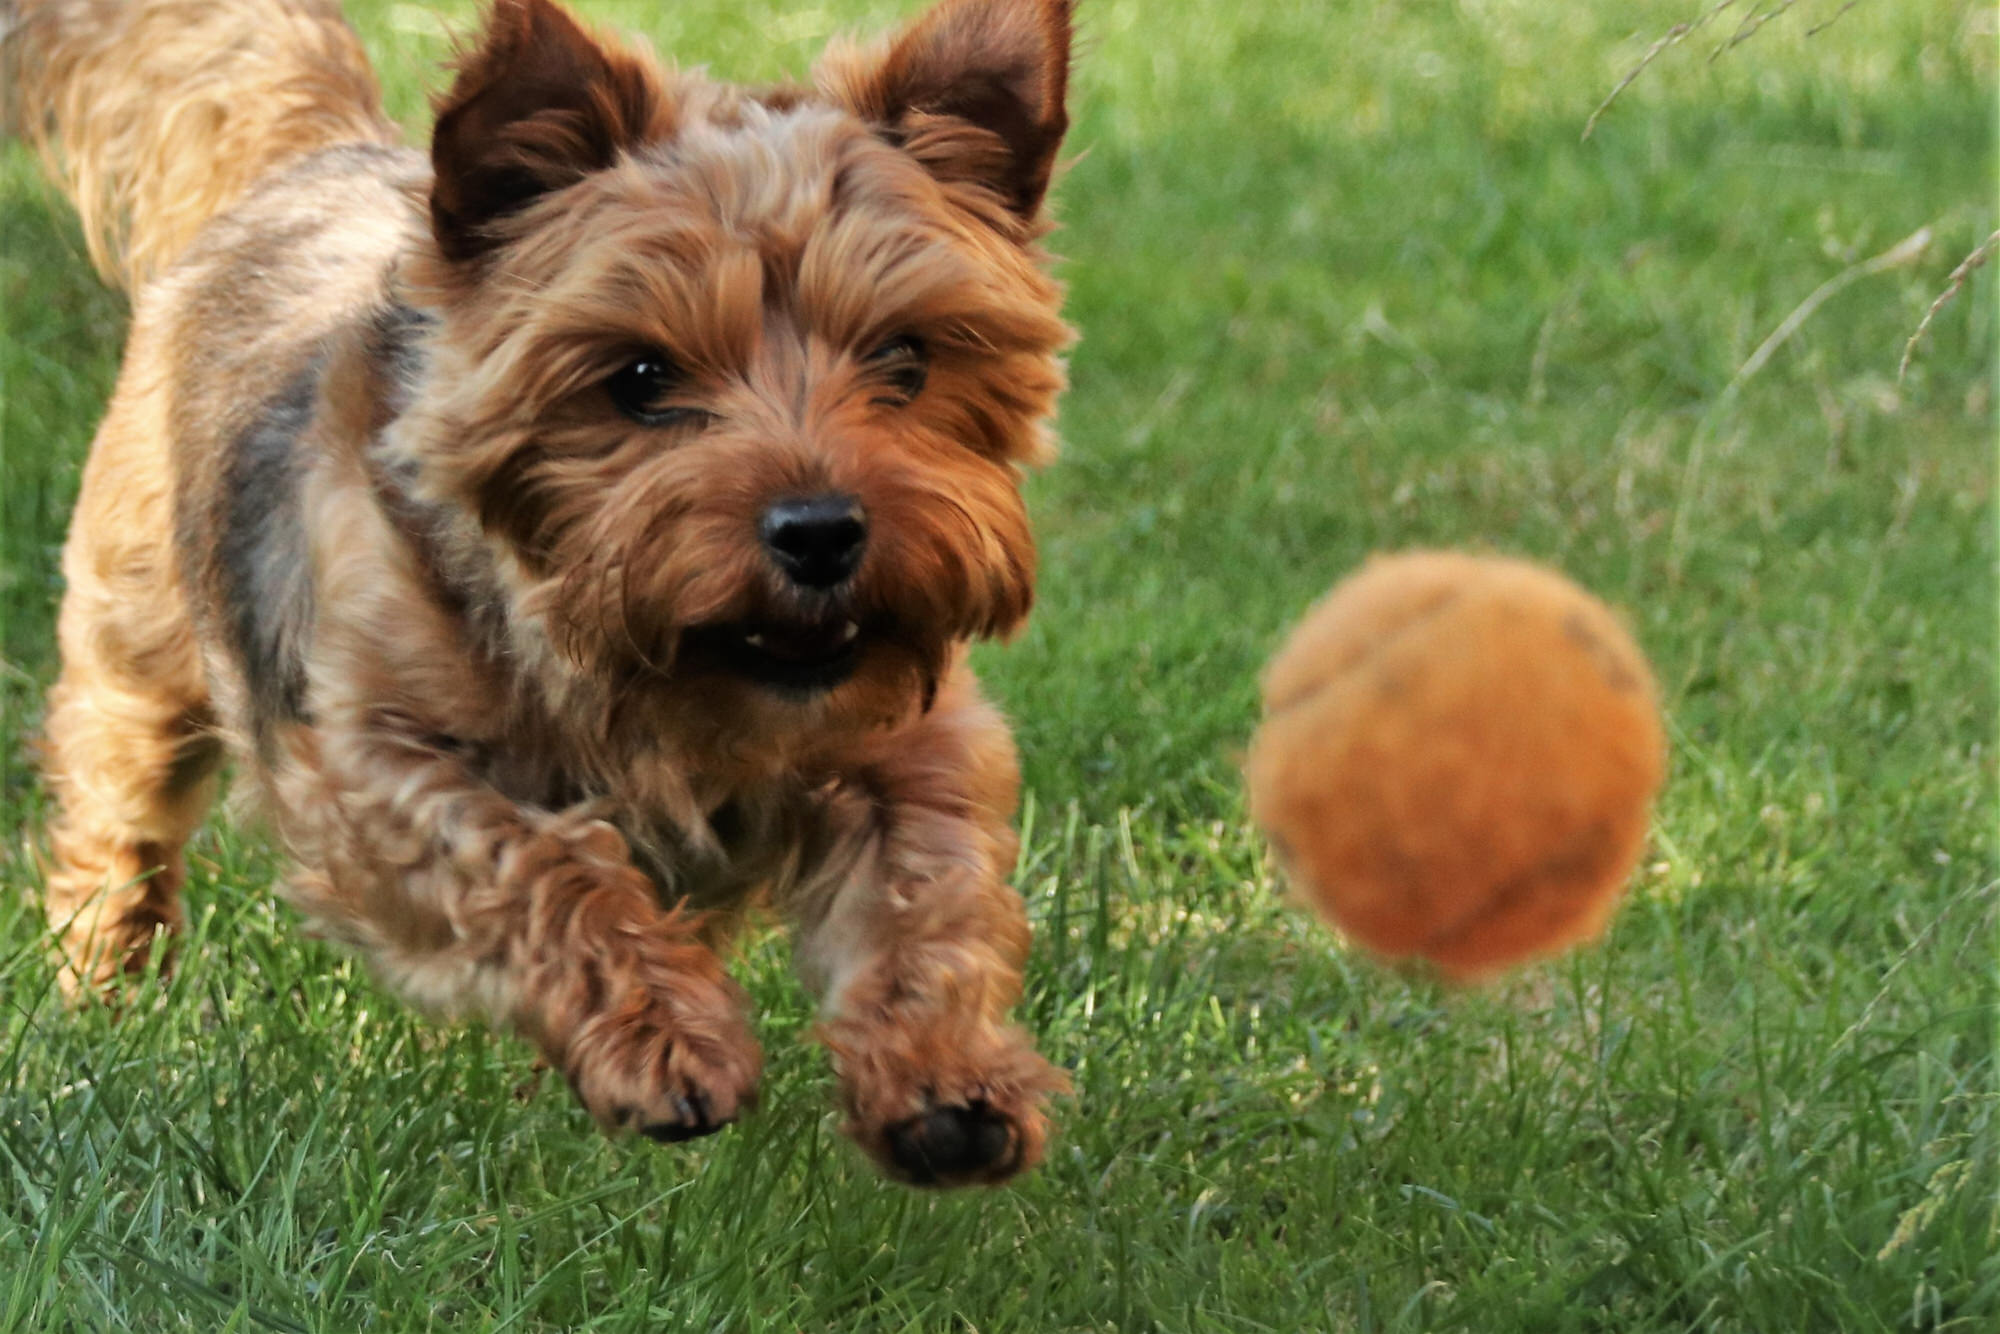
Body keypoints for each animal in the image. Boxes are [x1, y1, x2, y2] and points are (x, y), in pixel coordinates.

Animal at [7, 0, 1080, 1192]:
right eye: (641, 378)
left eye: (905, 357)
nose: (820, 530)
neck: (648, 676)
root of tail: (322, 153)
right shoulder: (372, 759)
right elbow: (541, 862)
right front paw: (665, 1038)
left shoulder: (912, 732)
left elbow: (927, 881)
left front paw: (946, 1077)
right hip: (137, 622)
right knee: (120, 798)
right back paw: (104, 981)